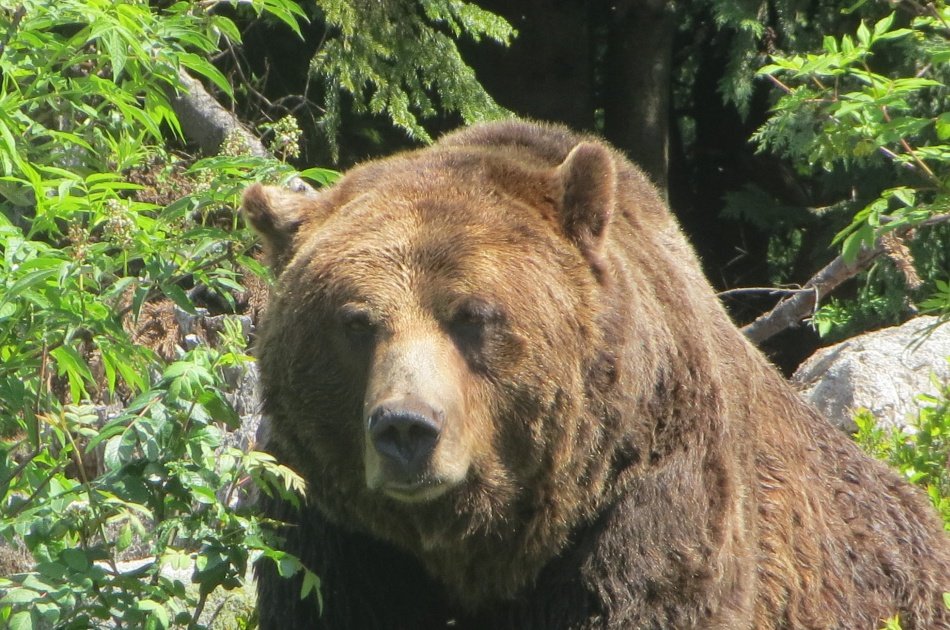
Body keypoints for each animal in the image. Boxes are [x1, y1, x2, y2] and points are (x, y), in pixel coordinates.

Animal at [242, 121, 948, 628]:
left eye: (473, 315)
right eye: (356, 322)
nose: (406, 429)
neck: (487, 545)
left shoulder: (644, 500)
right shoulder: (341, 534)